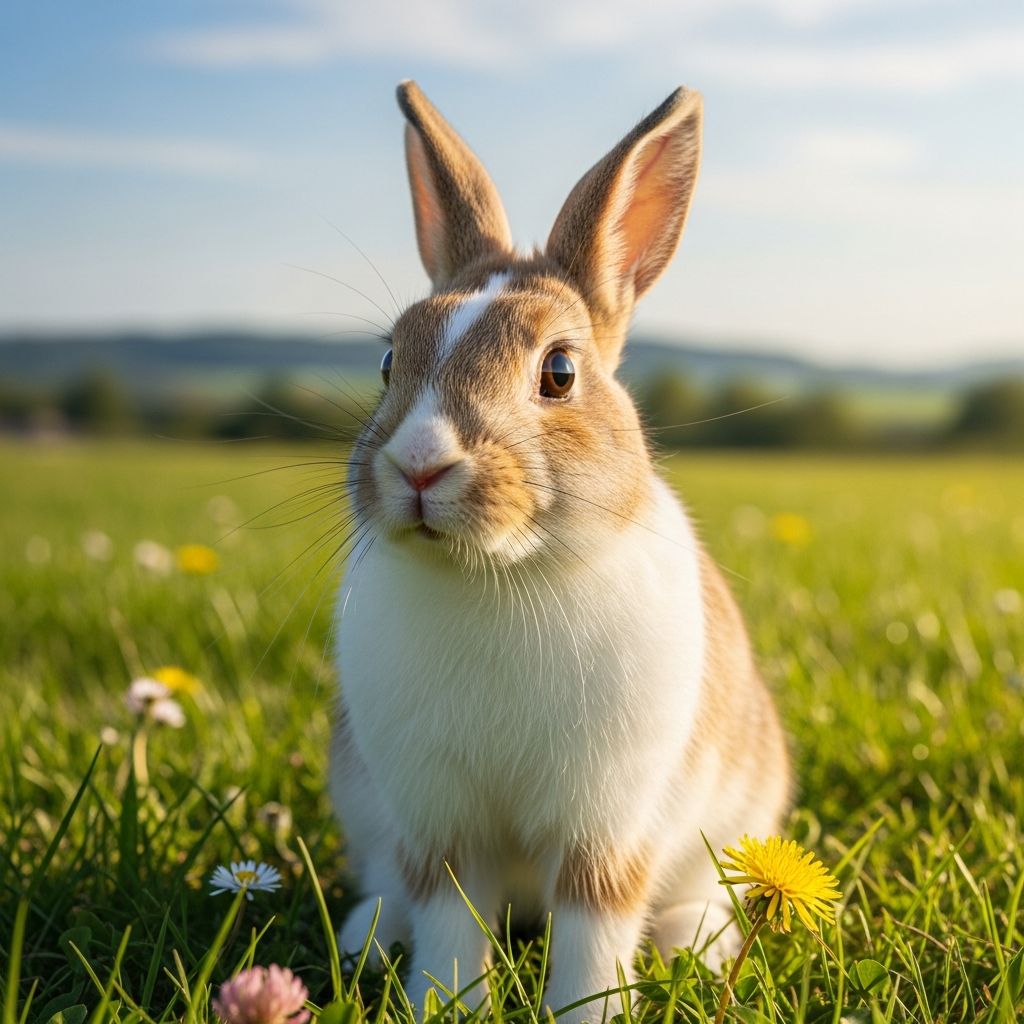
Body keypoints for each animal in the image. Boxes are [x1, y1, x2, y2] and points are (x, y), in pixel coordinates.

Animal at [330, 80, 792, 1023]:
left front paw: (589, 1011)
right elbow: (448, 916)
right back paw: (365, 937)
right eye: (391, 359)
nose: (420, 464)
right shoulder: (439, 822)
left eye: (559, 373)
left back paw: (695, 946)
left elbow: (594, 923)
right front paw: (444, 1005)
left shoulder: (605, 824)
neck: (496, 575)